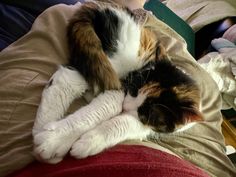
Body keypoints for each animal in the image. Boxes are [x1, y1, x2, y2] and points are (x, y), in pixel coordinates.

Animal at [32, 1, 202, 164]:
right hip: (111, 61)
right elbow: (108, 107)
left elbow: (124, 125)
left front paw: (88, 142)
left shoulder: (148, 125)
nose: (125, 107)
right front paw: (54, 140)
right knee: (66, 78)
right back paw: (42, 131)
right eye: (134, 90)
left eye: (147, 111)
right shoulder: (123, 86)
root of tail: (100, 8)